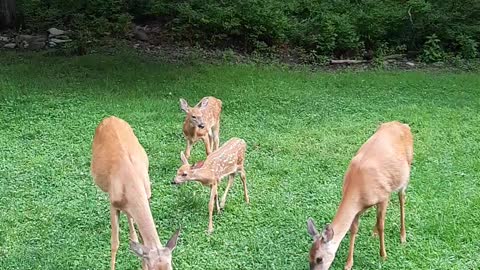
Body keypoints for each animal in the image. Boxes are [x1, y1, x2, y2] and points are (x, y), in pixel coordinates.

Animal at [90, 116, 180, 270]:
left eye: (171, 267)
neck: (131, 181)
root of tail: (110, 117)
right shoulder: (113, 203)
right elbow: (115, 243)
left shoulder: (147, 196)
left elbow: (143, 242)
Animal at [308, 122, 412, 270]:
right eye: (309, 257)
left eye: (319, 259)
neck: (357, 188)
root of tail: (403, 125)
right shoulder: (357, 209)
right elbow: (353, 229)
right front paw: (348, 263)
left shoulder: (384, 196)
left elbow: (382, 225)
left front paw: (383, 255)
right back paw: (374, 232)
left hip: (406, 174)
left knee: (402, 199)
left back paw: (403, 237)